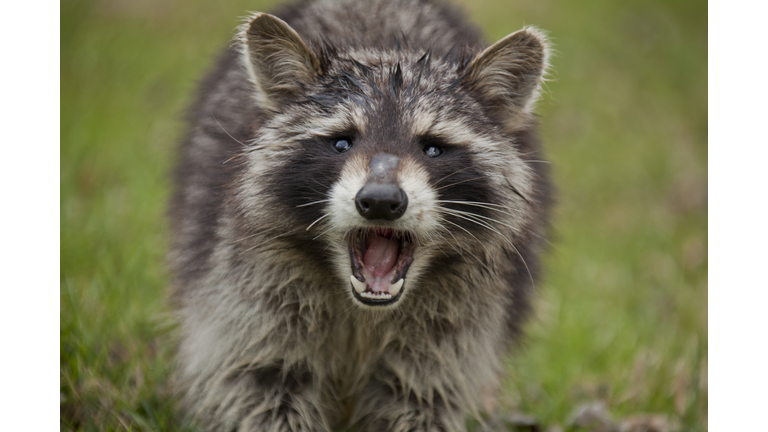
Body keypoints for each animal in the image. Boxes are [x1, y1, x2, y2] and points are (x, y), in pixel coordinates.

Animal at [168, 0, 552, 430]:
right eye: (341, 142)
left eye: (433, 148)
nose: (381, 200)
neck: (365, 312)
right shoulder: (250, 296)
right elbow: (259, 384)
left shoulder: (459, 324)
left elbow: (422, 397)